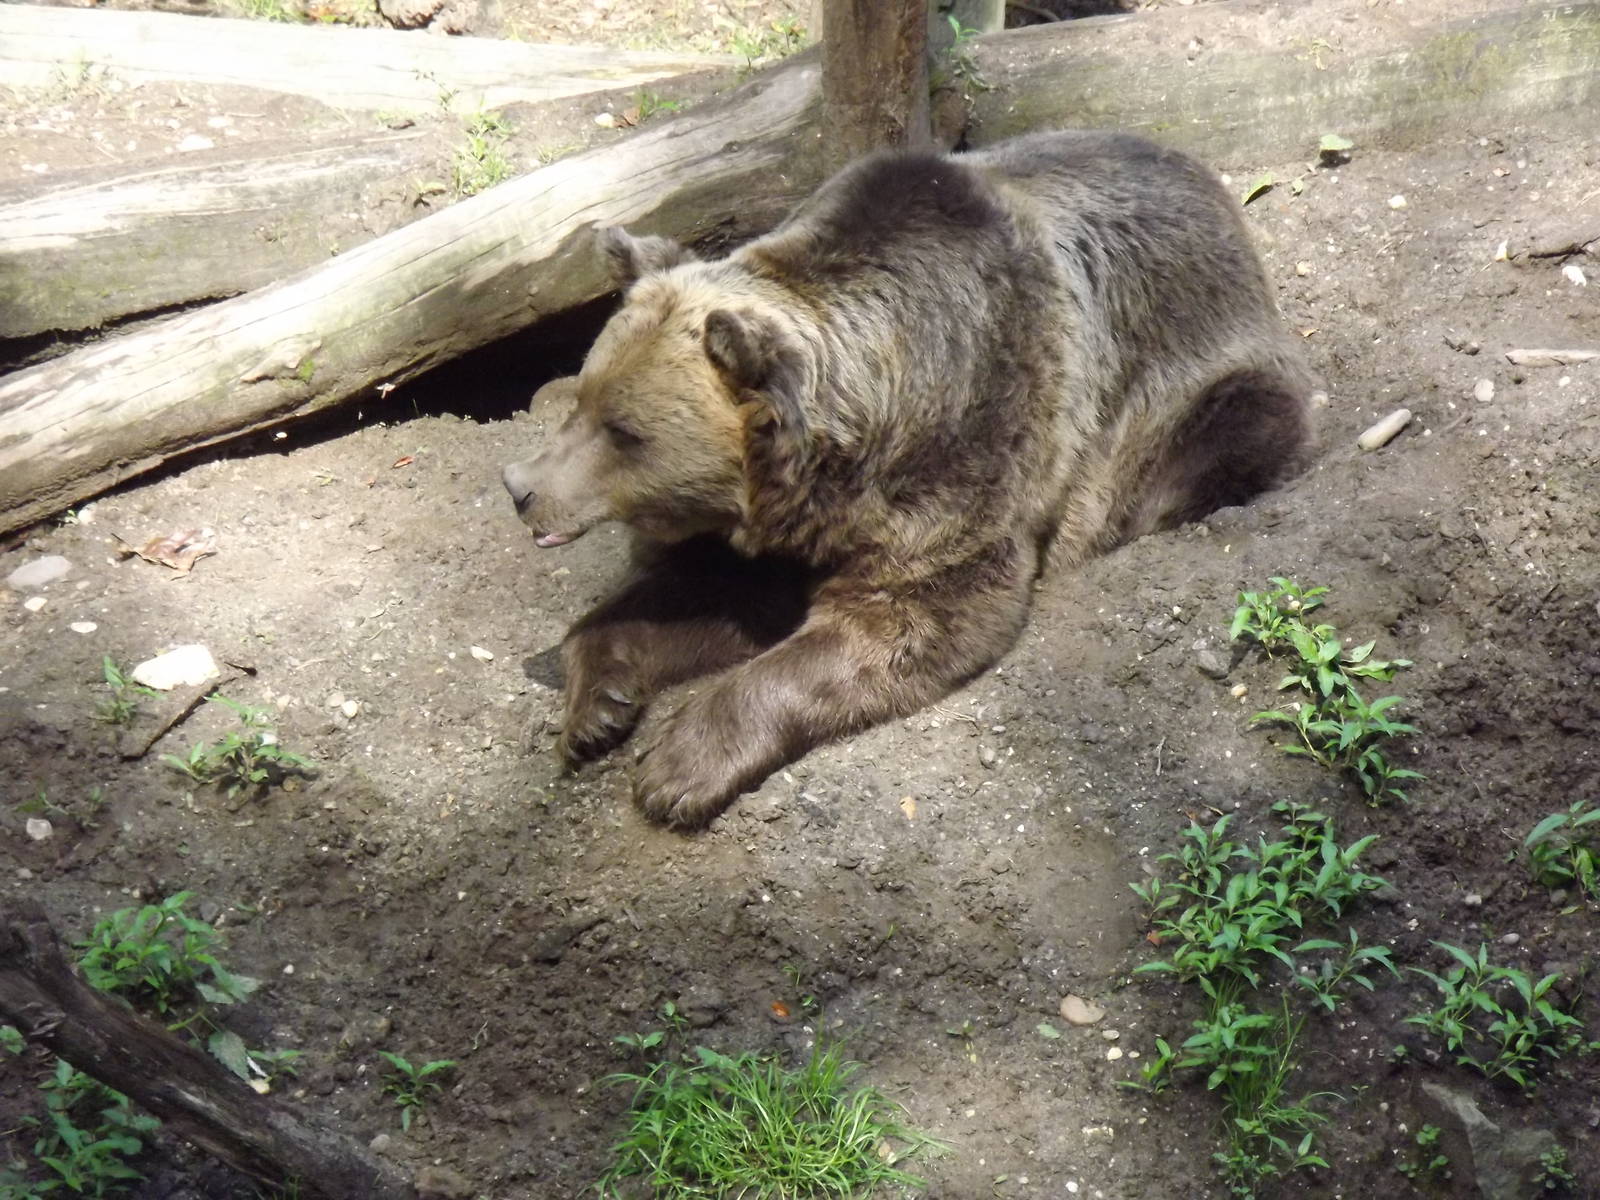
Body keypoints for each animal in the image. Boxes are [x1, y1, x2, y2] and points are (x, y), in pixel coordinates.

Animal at [502, 130, 1313, 829]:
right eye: (583, 396)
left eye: (624, 432)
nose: (520, 487)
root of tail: (1204, 176)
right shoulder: (774, 528)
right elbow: (695, 594)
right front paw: (596, 709)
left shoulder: (966, 456)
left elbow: (909, 617)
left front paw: (679, 764)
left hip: (1193, 380)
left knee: (1222, 436)